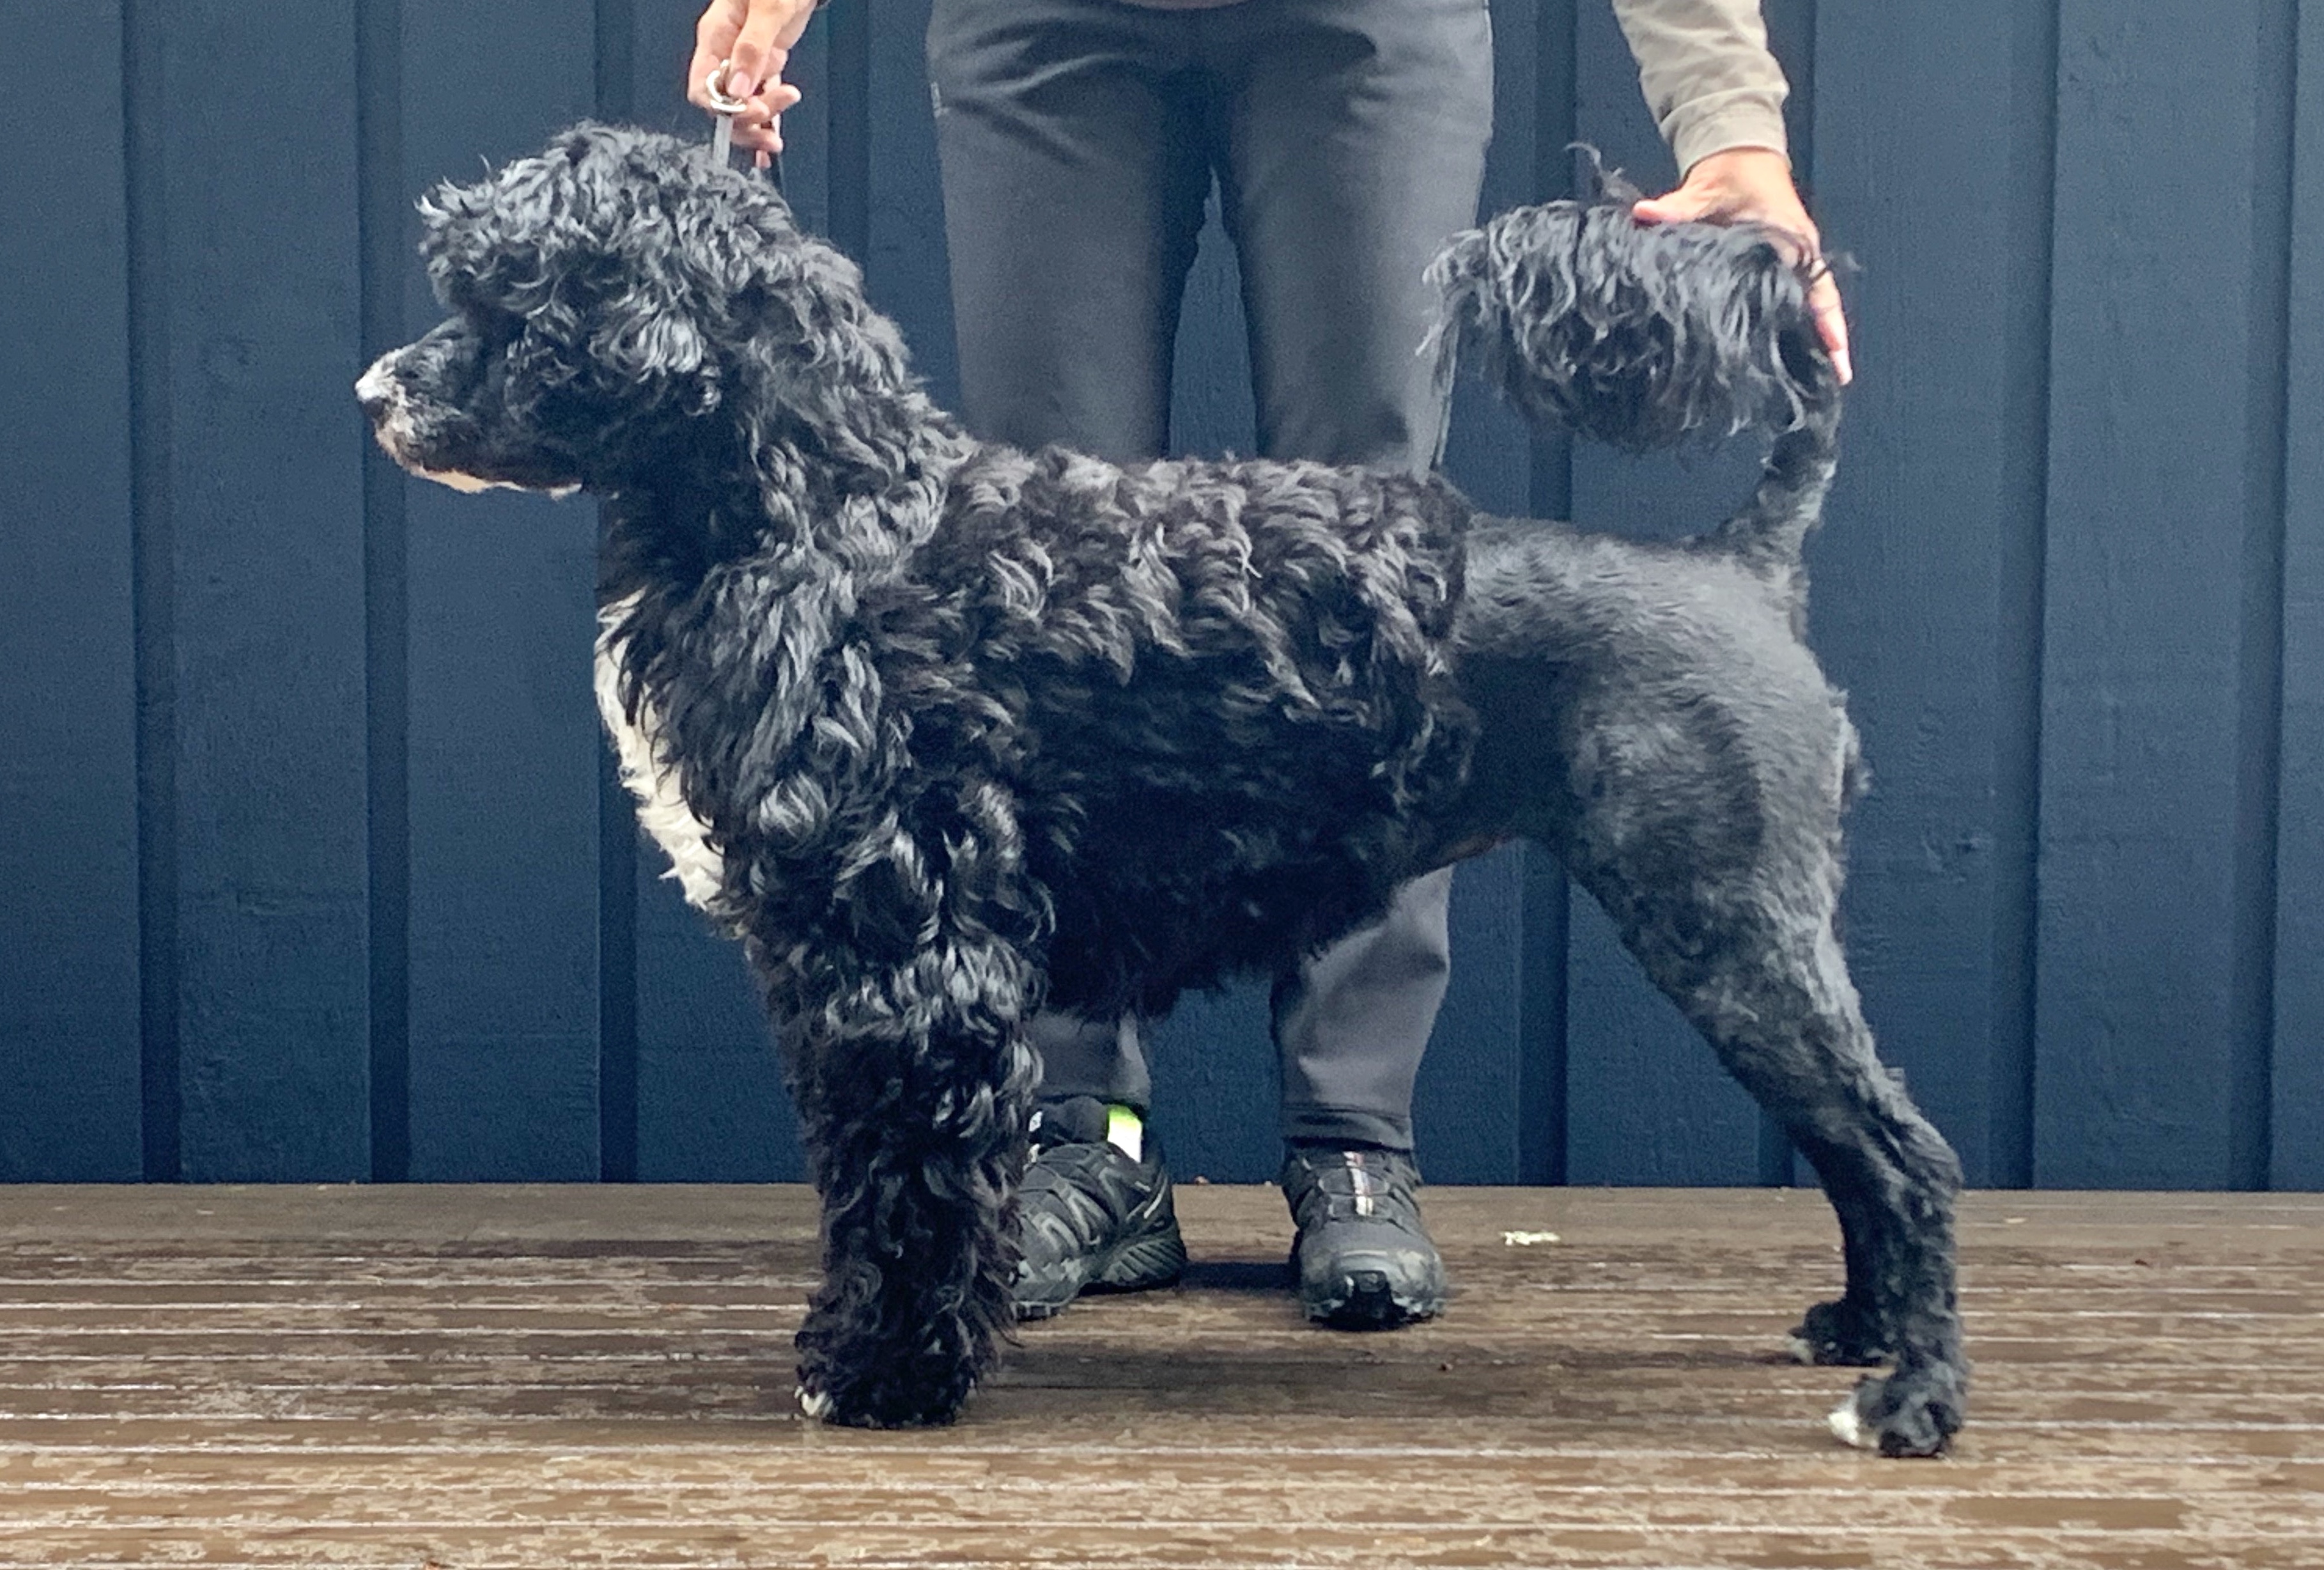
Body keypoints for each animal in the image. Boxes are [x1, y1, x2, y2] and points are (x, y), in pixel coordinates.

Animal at [357, 124, 1966, 1456]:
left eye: (508, 295)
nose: (378, 392)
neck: (836, 514)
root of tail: (1740, 564)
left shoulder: (910, 971)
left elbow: (905, 1187)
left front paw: (884, 1373)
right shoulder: (854, 970)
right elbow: (878, 1184)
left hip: (1729, 924)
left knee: (1905, 1151)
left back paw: (1912, 1396)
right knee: (1859, 1152)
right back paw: (1859, 1328)